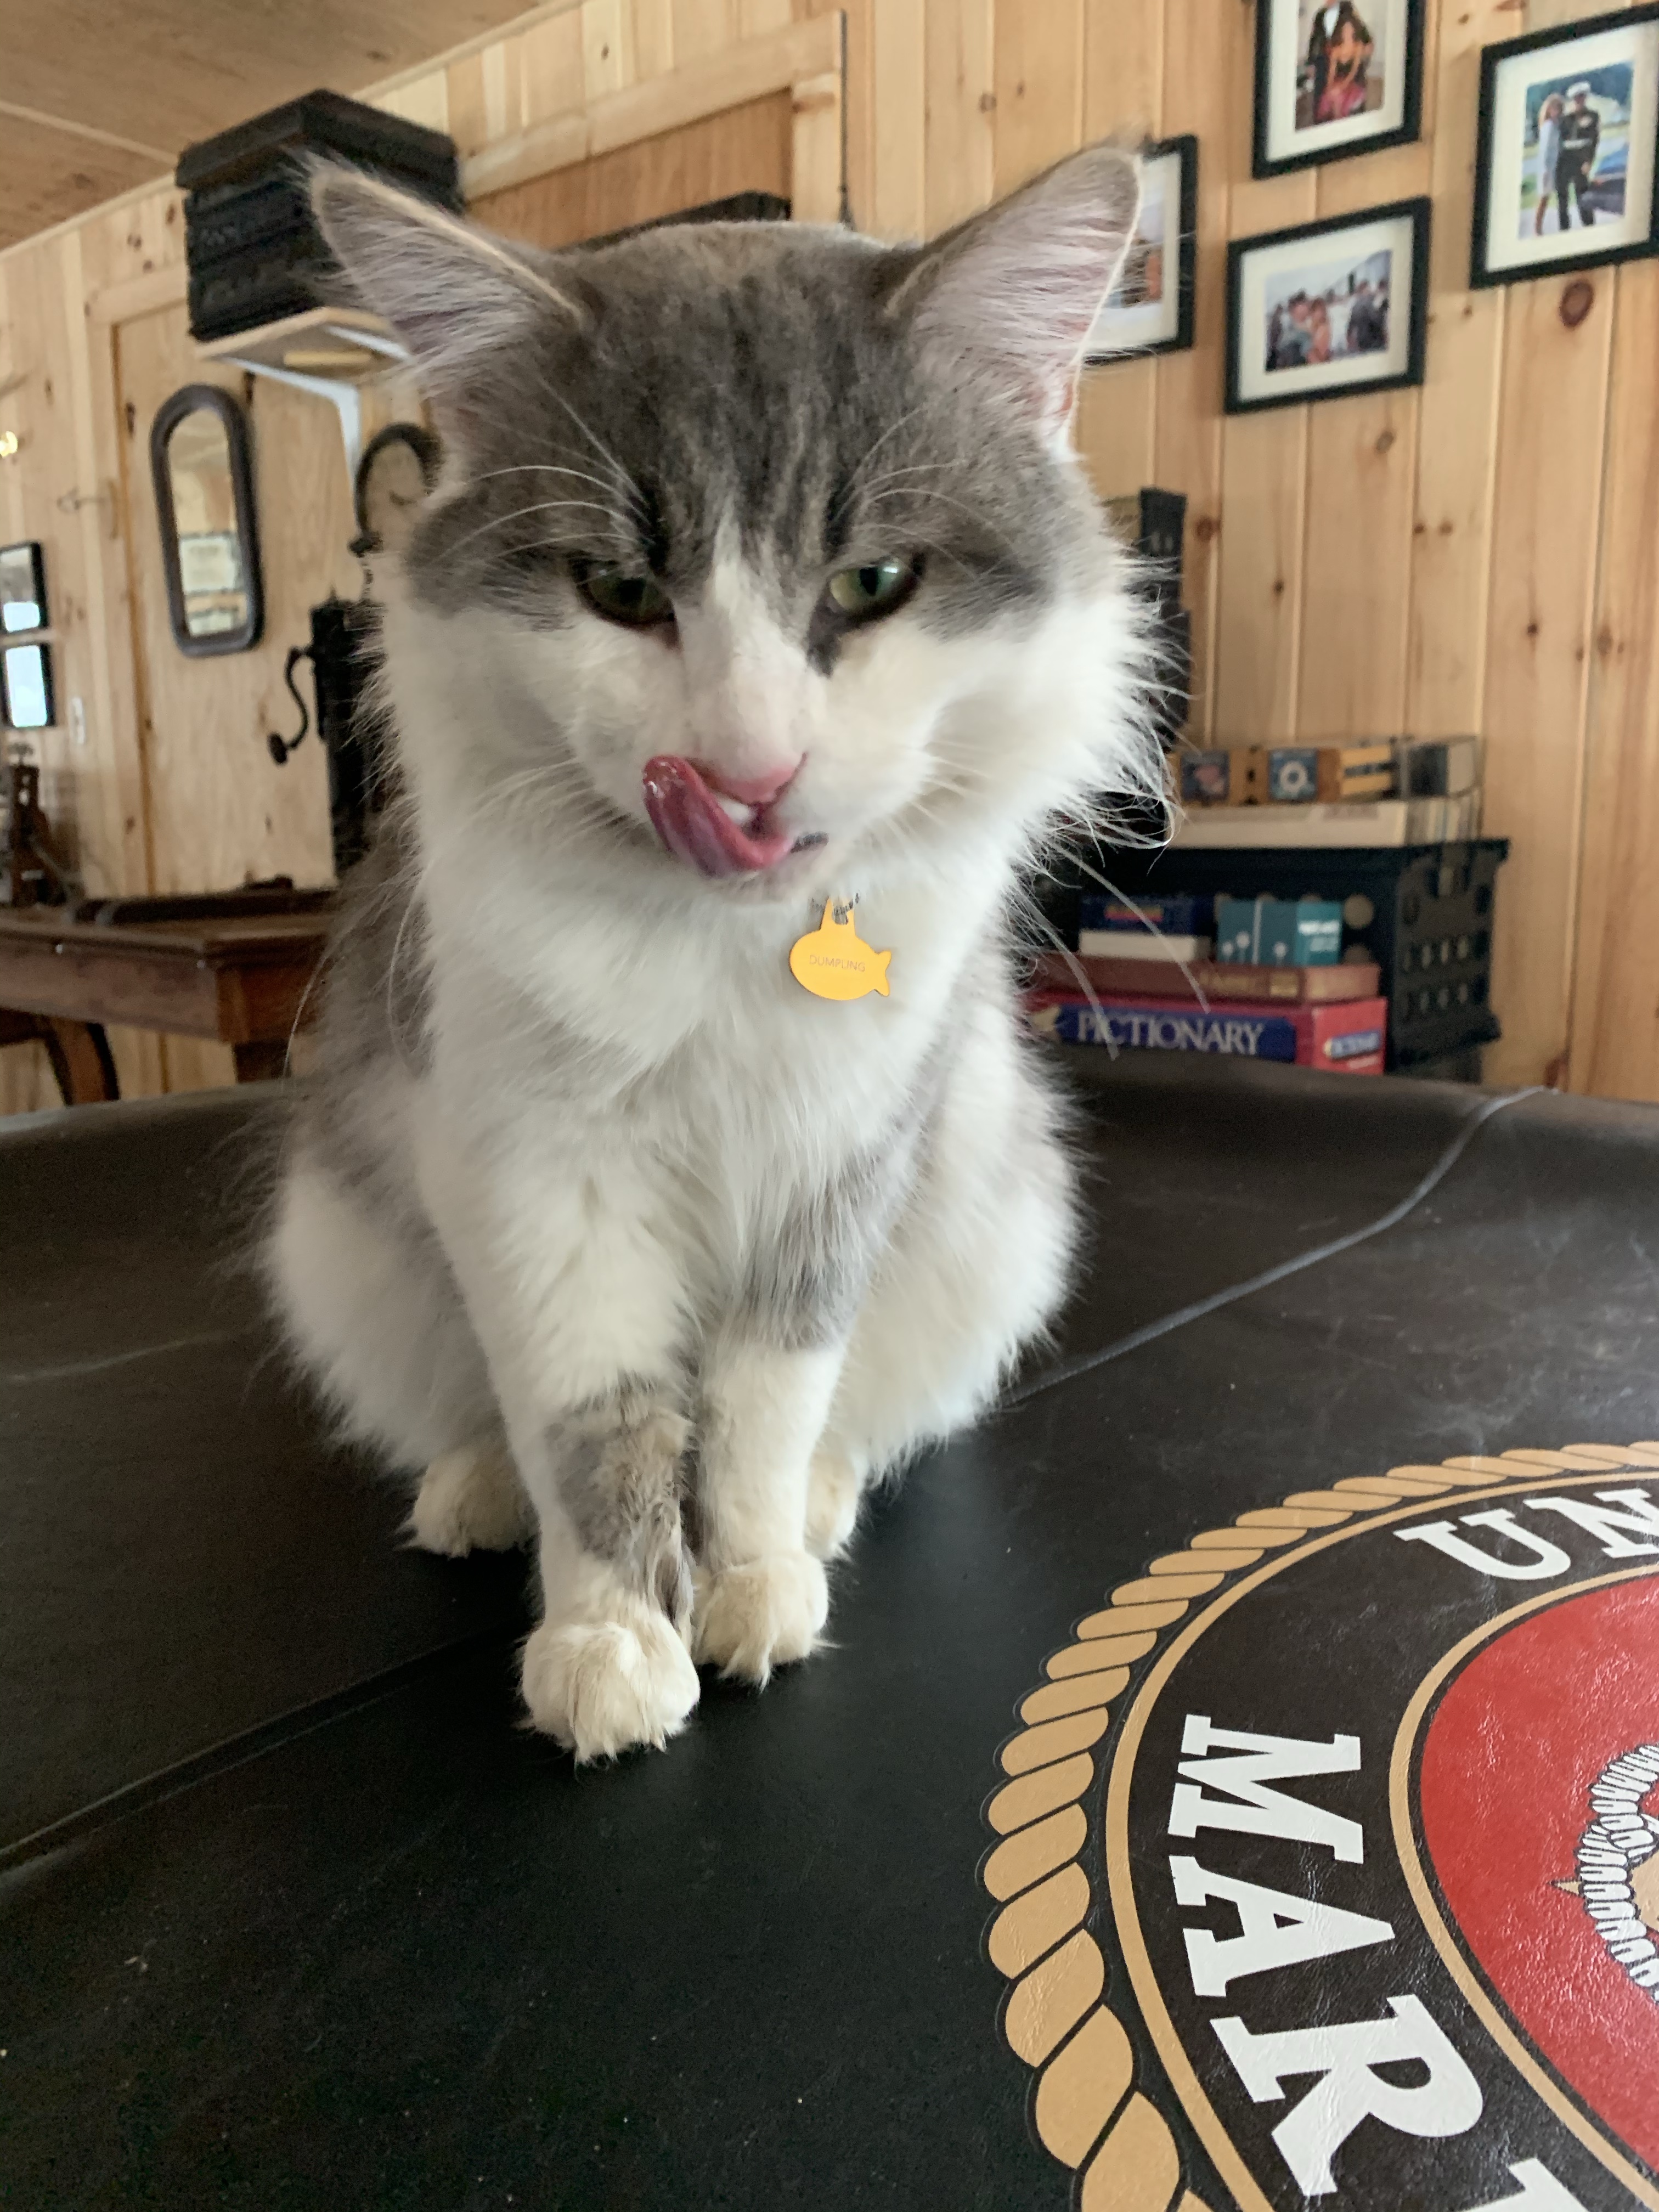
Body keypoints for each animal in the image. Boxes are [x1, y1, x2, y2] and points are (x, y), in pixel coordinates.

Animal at [266, 144, 1158, 1762]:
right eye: (621, 593)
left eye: (872, 582)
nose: (748, 776)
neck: (724, 955)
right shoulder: (538, 1181)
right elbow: (594, 1429)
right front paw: (611, 1645)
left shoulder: (839, 1171)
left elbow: (762, 1412)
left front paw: (751, 1587)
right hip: (349, 1259)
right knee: (482, 1427)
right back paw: (473, 1498)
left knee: (866, 1421)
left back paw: (817, 1514)